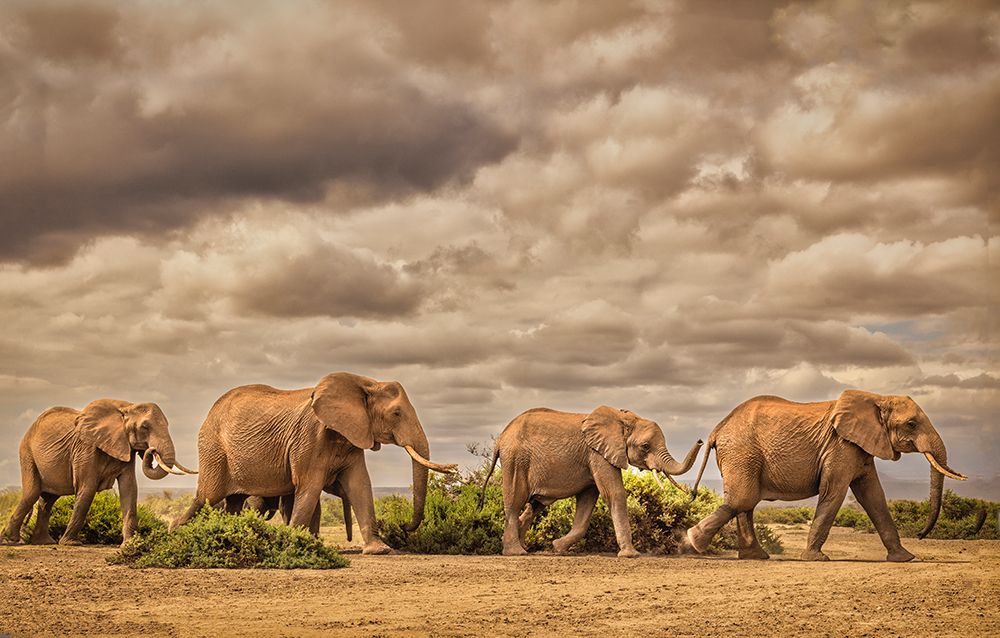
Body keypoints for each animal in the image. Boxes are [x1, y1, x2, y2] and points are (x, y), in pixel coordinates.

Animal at [2, 399, 195, 545]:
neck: (126, 407)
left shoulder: (125, 448)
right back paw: (10, 540)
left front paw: (130, 544)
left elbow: (129, 489)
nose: (151, 450)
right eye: (145, 427)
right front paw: (71, 543)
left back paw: (44, 542)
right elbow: (87, 489)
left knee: (47, 500)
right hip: (27, 453)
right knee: (32, 493)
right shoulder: (86, 448)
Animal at [171, 372, 456, 554]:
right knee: (207, 496)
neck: (366, 383)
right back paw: (175, 531)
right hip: (213, 448)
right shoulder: (309, 438)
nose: (403, 526)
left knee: (233, 502)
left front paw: (380, 550)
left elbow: (360, 485)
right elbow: (309, 486)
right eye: (396, 413)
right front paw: (293, 541)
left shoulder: (352, 436)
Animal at [480, 406, 703, 557]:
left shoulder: (594, 457)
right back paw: (516, 552)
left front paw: (557, 547)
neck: (623, 419)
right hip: (516, 460)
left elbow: (587, 501)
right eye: (645, 446)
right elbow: (614, 493)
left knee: (533, 506)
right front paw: (631, 555)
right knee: (514, 501)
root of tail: (501, 437)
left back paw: (524, 547)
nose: (701, 440)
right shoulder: (598, 454)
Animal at [684, 390, 967, 562]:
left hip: (742, 456)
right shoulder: (840, 446)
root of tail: (716, 429)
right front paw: (815, 559)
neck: (877, 398)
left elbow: (873, 497)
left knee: (745, 503)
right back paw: (693, 542)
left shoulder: (861, 448)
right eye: (911, 424)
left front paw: (904, 558)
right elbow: (834, 492)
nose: (920, 534)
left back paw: (754, 556)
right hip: (741, 452)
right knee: (743, 499)